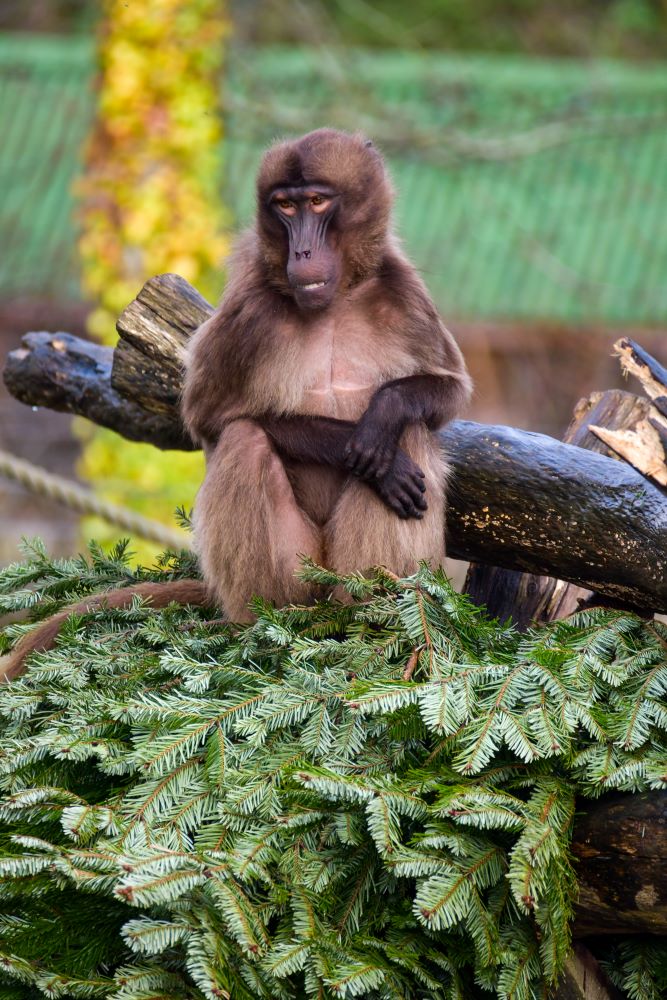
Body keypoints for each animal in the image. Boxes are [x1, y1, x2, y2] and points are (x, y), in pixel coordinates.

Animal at [1, 129, 470, 680]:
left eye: (317, 201)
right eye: (285, 206)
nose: (301, 249)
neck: (335, 303)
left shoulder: (404, 293)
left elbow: (445, 394)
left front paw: (382, 419)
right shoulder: (251, 310)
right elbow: (213, 421)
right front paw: (361, 448)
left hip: (338, 575)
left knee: (414, 432)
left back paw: (374, 611)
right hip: (297, 574)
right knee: (246, 441)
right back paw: (265, 620)